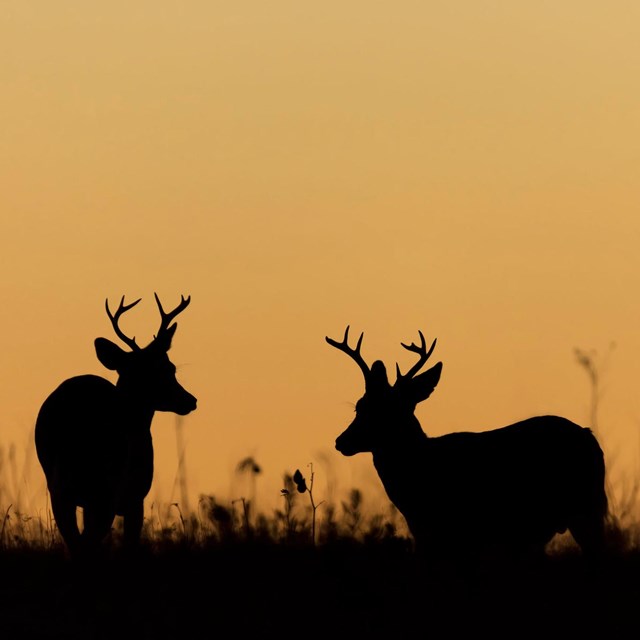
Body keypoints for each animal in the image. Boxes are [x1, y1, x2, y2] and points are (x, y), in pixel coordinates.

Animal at [36, 294, 196, 556]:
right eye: (168, 369)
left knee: (76, 542)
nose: (190, 400)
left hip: (59, 485)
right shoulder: (135, 495)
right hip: (105, 484)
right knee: (86, 542)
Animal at [328, 328, 608, 568]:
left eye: (388, 411)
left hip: (584, 507)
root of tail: (590, 438)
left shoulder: (457, 531)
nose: (341, 441)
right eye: (359, 406)